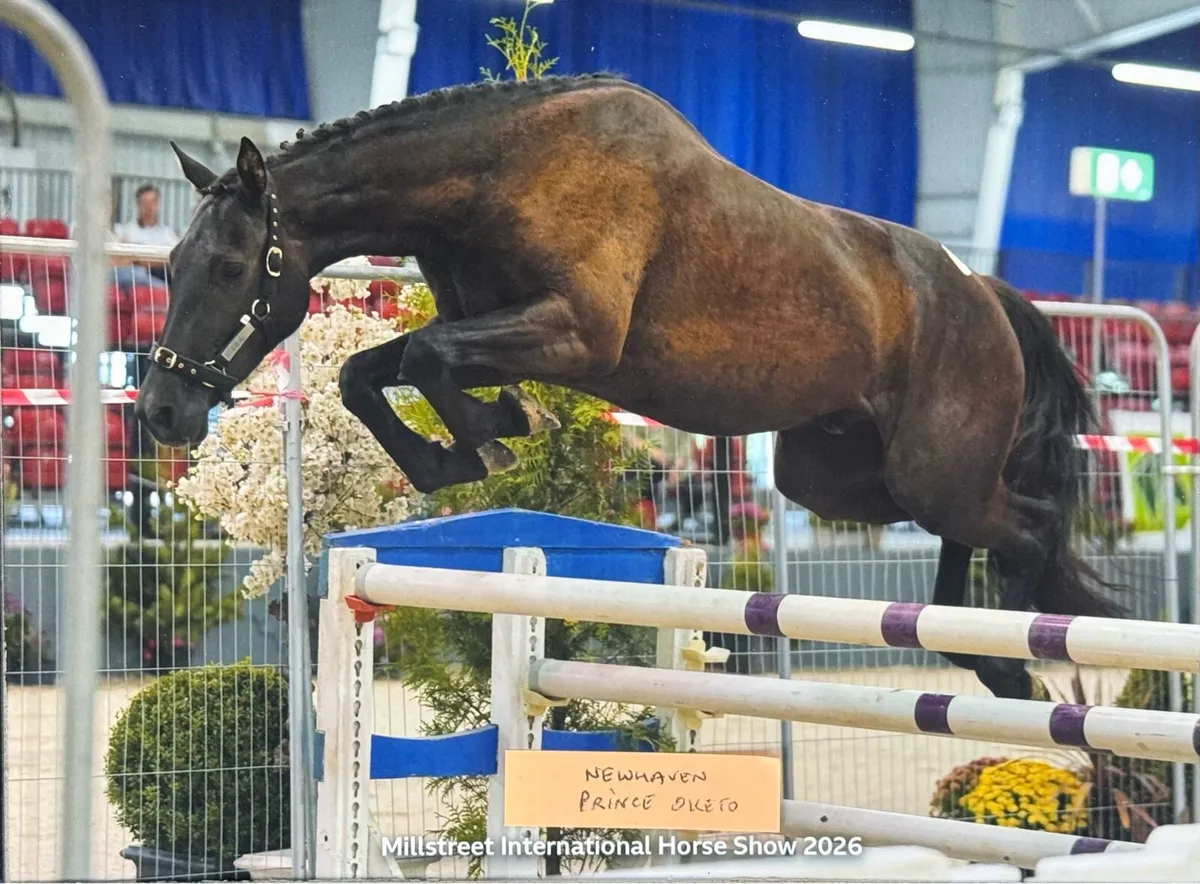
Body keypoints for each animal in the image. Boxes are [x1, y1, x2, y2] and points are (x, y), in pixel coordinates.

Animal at [136, 73, 1127, 701]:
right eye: (171, 267)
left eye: (229, 268)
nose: (160, 412)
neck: (497, 174)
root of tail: (982, 289)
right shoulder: (504, 329)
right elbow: (369, 371)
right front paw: (467, 446)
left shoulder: (574, 334)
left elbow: (422, 365)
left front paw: (490, 437)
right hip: (841, 476)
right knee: (971, 525)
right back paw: (981, 650)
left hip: (927, 464)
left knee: (1025, 522)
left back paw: (1025, 658)